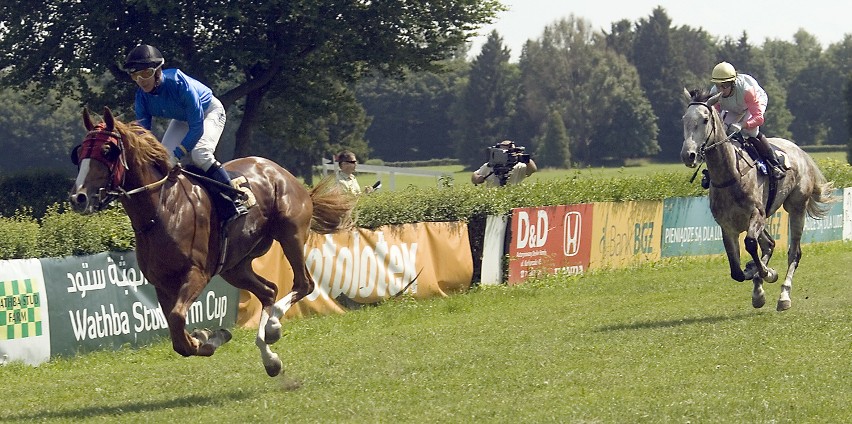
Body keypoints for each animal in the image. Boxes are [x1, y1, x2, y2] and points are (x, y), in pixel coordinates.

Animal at [68, 107, 354, 376]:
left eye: (108, 150)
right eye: (79, 153)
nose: (79, 197)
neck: (161, 210)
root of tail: (286, 175)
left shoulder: (197, 273)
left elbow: (178, 320)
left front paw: (206, 337)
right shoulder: (162, 283)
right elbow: (178, 337)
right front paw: (208, 337)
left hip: (290, 234)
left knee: (304, 284)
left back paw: (273, 327)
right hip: (235, 266)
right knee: (269, 290)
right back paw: (270, 358)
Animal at [684, 89, 836, 310]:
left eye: (704, 119)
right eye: (684, 119)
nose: (688, 155)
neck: (731, 175)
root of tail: (802, 152)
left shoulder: (756, 214)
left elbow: (749, 244)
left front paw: (766, 273)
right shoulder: (727, 226)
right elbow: (737, 272)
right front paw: (755, 275)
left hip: (796, 206)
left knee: (794, 252)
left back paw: (784, 295)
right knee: (769, 244)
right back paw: (759, 287)